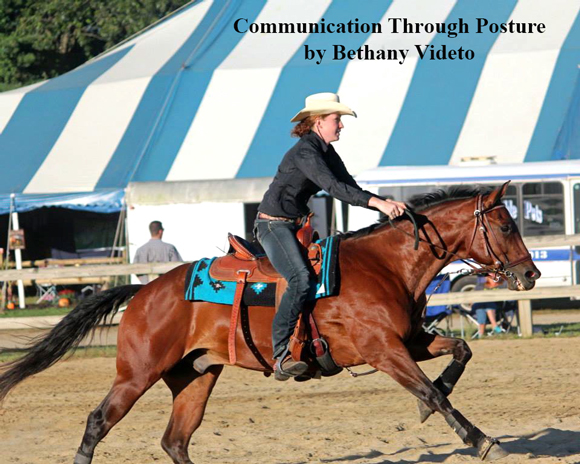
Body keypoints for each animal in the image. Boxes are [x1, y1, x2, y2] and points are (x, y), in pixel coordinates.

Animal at [0, 183, 540, 462]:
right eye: (504, 224)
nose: (532, 273)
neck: (384, 265)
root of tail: (145, 291)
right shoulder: (384, 350)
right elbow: (431, 392)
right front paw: (479, 439)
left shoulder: (409, 340)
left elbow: (460, 353)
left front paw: (440, 400)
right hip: (137, 374)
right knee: (99, 421)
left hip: (195, 376)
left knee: (176, 439)